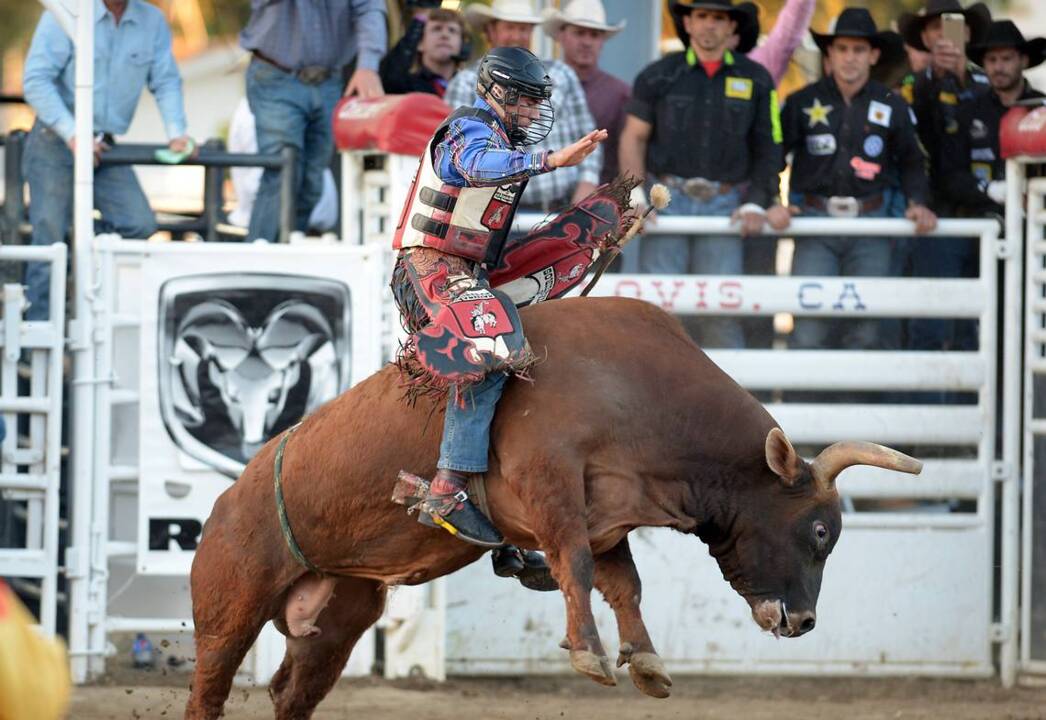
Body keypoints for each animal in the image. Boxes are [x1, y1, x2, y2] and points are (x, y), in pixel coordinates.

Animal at [183, 296, 921, 720]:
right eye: (819, 530)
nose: (804, 621)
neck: (634, 386)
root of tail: (230, 497)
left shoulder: (611, 514)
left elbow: (622, 583)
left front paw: (645, 661)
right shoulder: (552, 485)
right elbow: (575, 567)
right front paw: (590, 654)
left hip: (338, 617)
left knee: (291, 691)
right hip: (231, 602)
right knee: (209, 688)